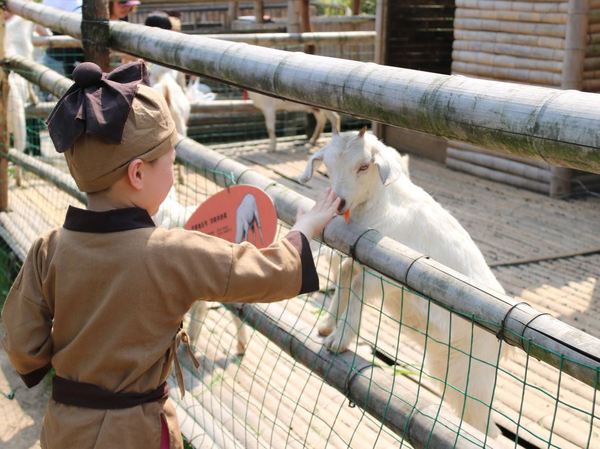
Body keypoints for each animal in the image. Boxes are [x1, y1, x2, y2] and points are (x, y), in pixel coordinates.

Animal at [298, 127, 506, 438]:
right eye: (329, 166)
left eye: (364, 166)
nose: (340, 202)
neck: (381, 205)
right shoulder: (359, 257)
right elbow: (345, 272)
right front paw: (327, 324)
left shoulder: (384, 272)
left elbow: (358, 287)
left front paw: (339, 340)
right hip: (449, 366)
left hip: (476, 370)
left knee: (483, 420)